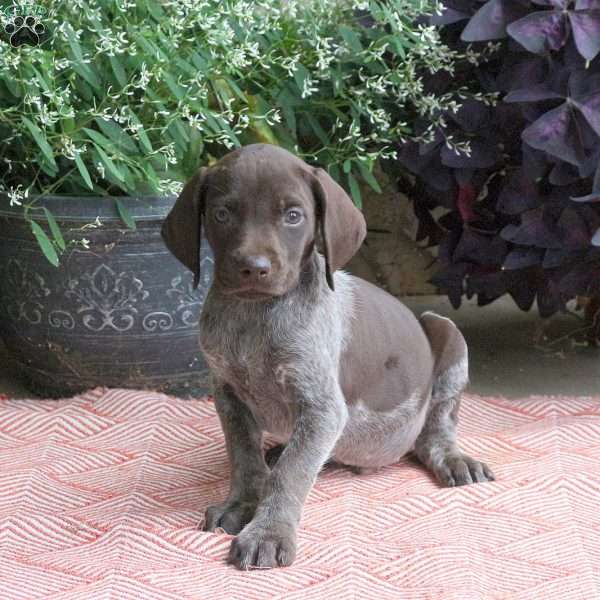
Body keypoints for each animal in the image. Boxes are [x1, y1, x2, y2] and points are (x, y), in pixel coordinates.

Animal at [162, 144, 494, 572]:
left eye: (293, 215)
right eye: (222, 214)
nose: (254, 267)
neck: (254, 317)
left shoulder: (321, 407)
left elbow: (290, 474)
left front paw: (269, 532)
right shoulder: (228, 395)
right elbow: (245, 457)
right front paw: (243, 504)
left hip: (447, 334)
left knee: (436, 427)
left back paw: (452, 458)